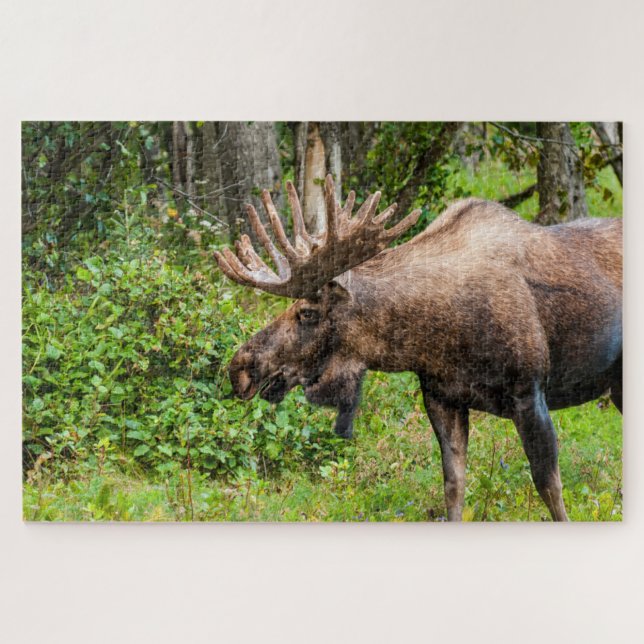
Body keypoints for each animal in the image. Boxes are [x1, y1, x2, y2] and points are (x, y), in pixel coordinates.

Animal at [215, 175, 622, 521]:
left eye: (307, 313)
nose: (240, 367)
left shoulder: (530, 392)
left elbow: (550, 489)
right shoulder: (442, 397)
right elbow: (454, 487)